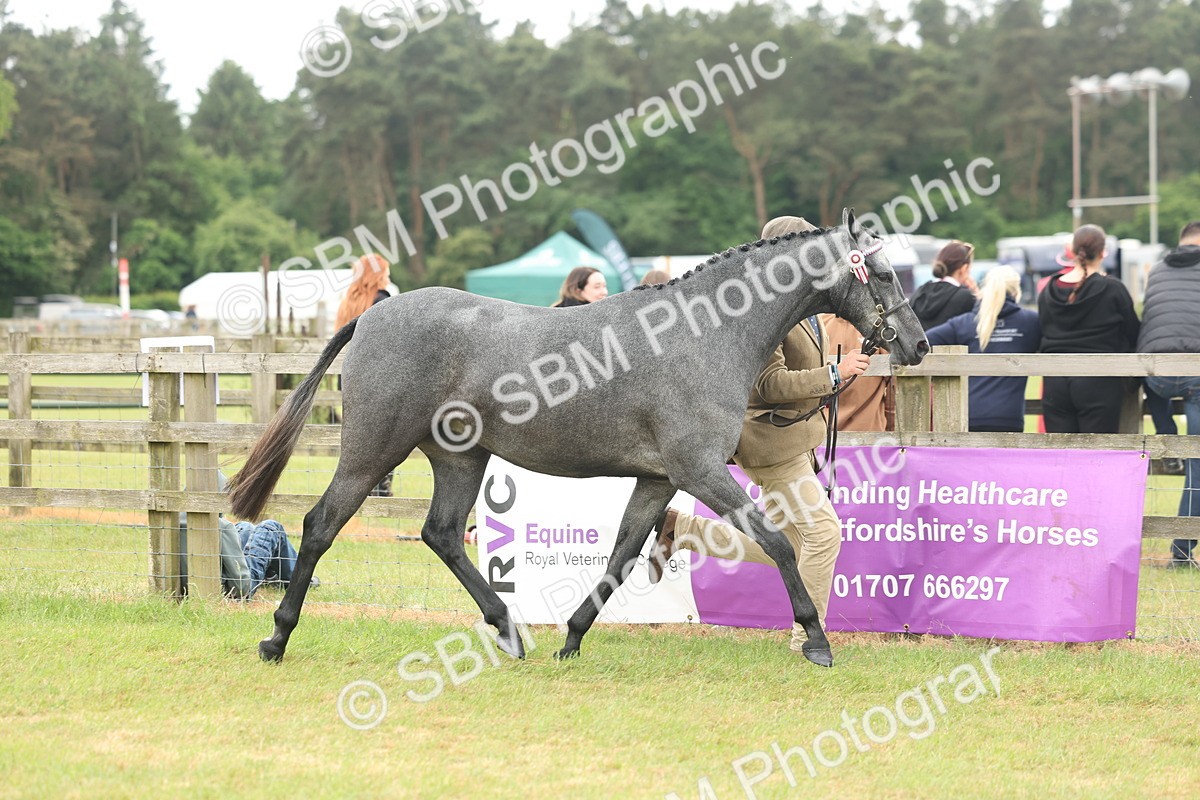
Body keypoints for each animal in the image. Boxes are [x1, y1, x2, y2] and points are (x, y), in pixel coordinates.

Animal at [228, 208, 929, 668]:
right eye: (883, 274)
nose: (918, 345)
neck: (703, 333)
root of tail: (372, 316)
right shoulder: (699, 469)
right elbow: (778, 542)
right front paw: (816, 639)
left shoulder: (658, 478)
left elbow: (621, 554)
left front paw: (571, 637)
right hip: (373, 451)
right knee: (322, 524)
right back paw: (276, 639)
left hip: (461, 458)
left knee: (443, 534)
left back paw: (510, 631)